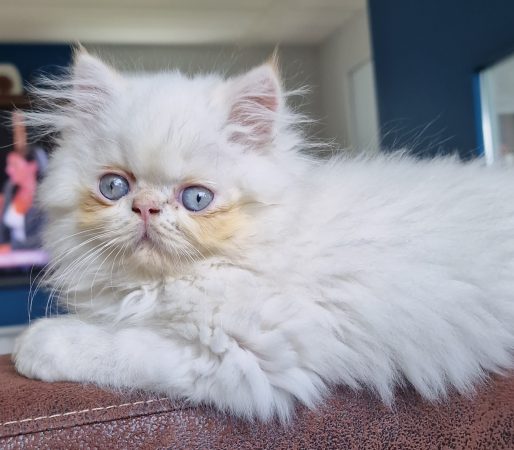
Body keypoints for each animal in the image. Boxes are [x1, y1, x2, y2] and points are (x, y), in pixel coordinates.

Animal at [13, 51, 512, 420]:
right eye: (114, 187)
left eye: (196, 198)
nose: (146, 208)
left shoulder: (243, 353)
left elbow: (120, 345)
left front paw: (34, 345)